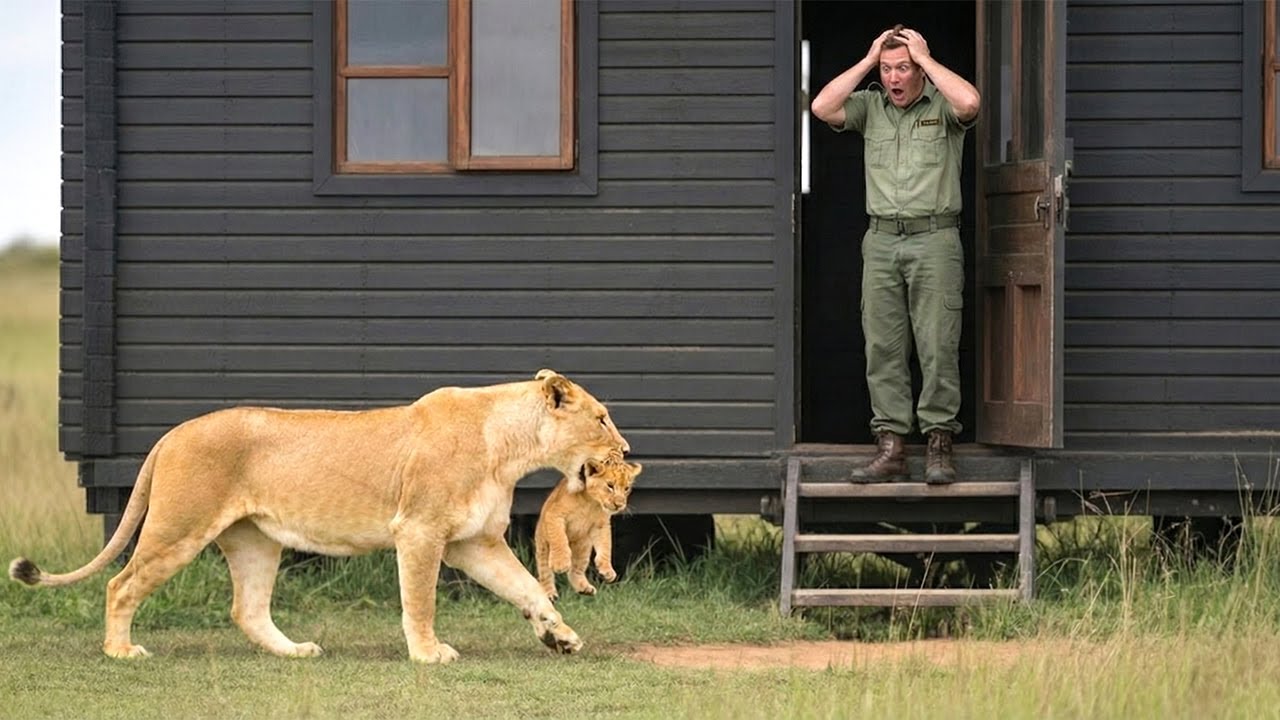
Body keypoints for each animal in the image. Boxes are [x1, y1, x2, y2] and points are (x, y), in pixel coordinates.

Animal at [8, 369, 628, 664]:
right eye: (601, 418)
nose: (626, 448)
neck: (511, 448)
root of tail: (171, 433)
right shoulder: (420, 530)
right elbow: (420, 600)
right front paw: (428, 654)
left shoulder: (474, 541)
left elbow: (527, 588)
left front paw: (560, 636)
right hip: (178, 527)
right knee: (121, 584)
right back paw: (121, 650)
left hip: (255, 541)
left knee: (247, 609)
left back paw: (295, 651)